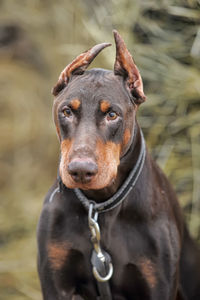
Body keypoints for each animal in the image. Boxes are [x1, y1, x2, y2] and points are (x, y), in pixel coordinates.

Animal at [37, 31, 200, 300]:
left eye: (112, 114)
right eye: (67, 111)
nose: (80, 170)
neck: (101, 206)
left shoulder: (156, 283)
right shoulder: (56, 283)